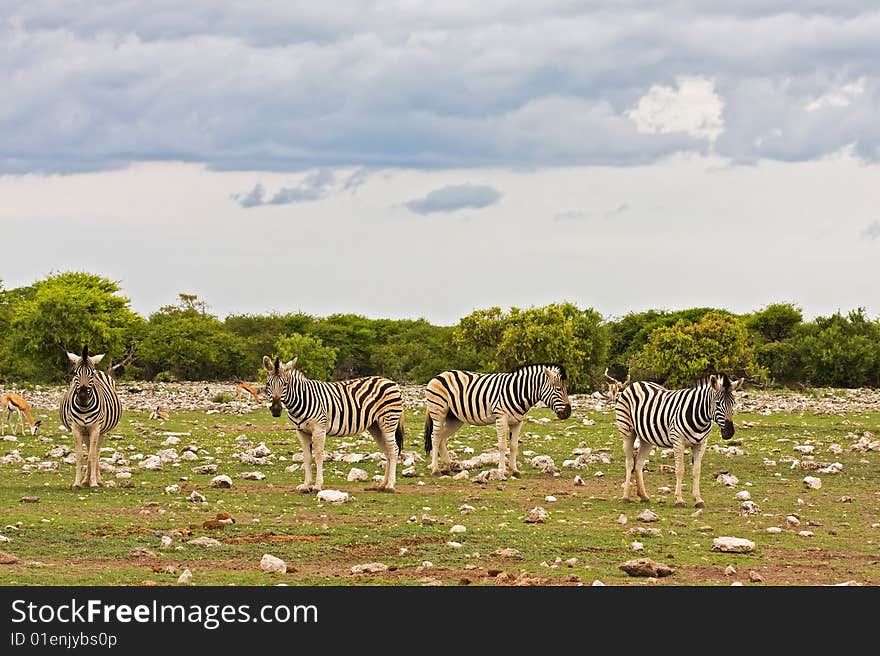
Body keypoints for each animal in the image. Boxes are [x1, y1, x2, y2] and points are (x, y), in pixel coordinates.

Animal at [58, 346, 124, 490]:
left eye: (91, 374)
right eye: (75, 373)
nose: (83, 398)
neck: (84, 408)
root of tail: (100, 370)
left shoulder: (95, 428)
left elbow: (92, 456)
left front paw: (94, 483)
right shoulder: (76, 428)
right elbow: (79, 455)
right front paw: (77, 483)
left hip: (101, 431)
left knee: (96, 451)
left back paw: (96, 480)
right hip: (85, 431)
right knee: (89, 450)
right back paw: (85, 480)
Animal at [262, 358, 408, 492]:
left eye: (285, 384)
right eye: (268, 384)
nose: (276, 410)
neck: (302, 399)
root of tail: (392, 383)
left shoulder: (319, 429)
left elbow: (319, 455)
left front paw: (317, 485)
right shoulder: (301, 431)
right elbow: (307, 457)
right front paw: (305, 485)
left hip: (388, 421)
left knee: (394, 450)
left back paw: (390, 485)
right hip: (376, 426)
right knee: (387, 451)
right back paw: (382, 485)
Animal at [422, 362, 576, 480]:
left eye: (566, 389)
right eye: (558, 389)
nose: (568, 413)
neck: (519, 392)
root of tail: (439, 375)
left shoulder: (518, 421)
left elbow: (514, 446)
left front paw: (514, 470)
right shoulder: (501, 418)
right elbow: (502, 446)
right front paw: (502, 471)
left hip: (454, 418)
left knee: (442, 438)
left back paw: (447, 467)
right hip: (438, 410)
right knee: (435, 437)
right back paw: (435, 469)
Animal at [616, 374, 744, 508]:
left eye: (733, 403)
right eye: (718, 404)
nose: (729, 433)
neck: (700, 417)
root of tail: (636, 383)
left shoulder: (701, 444)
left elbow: (696, 471)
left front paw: (698, 500)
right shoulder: (678, 442)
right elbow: (680, 470)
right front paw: (679, 500)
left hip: (646, 437)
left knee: (639, 463)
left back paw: (644, 496)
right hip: (627, 431)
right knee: (630, 463)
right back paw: (626, 497)